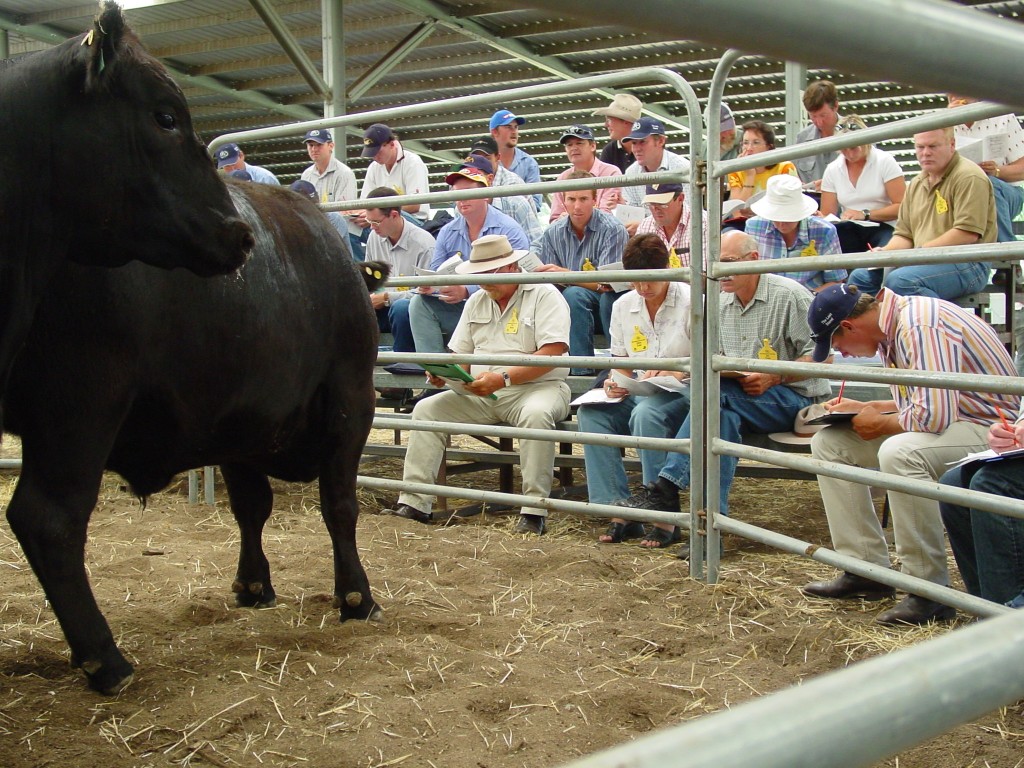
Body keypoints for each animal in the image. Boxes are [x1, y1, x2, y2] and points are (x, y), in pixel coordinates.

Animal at [3, 182, 385, 696]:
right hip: (78, 411)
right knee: (49, 521)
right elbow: (340, 507)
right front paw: (356, 598)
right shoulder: (351, 399)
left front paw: (253, 586)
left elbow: (251, 507)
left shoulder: (242, 426)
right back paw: (106, 660)